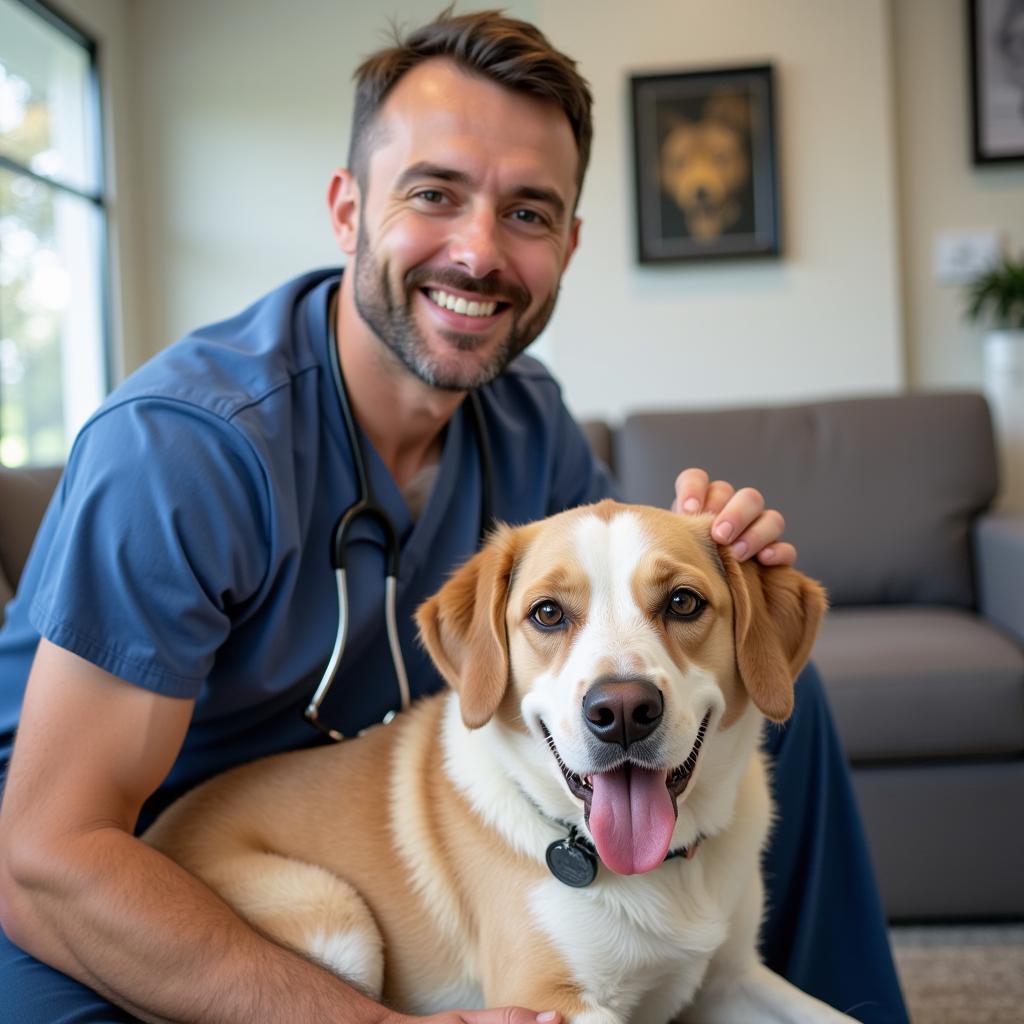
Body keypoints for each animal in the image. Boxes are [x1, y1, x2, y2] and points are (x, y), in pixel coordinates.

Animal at [142, 503, 856, 1024]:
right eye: (547, 613)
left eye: (683, 602)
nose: (623, 710)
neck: (662, 873)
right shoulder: (547, 999)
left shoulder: (732, 978)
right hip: (333, 913)